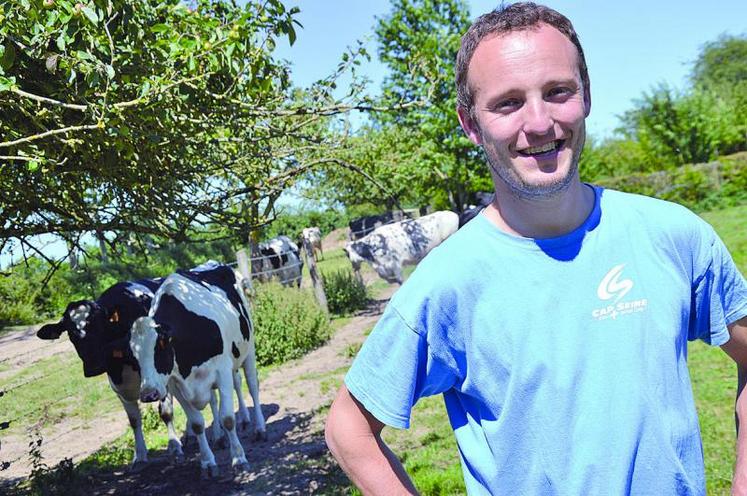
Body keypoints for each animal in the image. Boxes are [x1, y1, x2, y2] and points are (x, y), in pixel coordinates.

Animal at [37, 278, 187, 466]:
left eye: (100, 324)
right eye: (70, 333)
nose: (93, 366)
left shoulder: (161, 375)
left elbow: (166, 412)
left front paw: (174, 446)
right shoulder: (119, 388)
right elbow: (134, 420)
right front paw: (140, 455)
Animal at [131, 264, 266, 476]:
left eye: (160, 346)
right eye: (134, 356)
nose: (148, 394)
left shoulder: (222, 370)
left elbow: (228, 417)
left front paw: (239, 459)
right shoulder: (175, 384)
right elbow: (197, 424)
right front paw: (208, 462)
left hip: (248, 349)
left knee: (252, 386)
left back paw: (259, 428)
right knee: (221, 394)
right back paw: (223, 434)